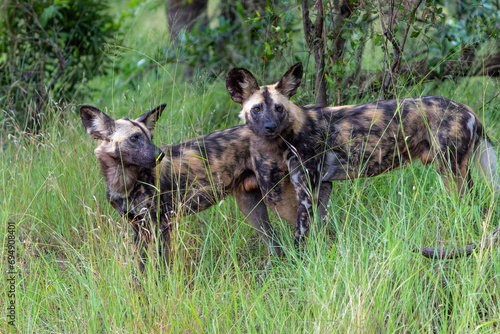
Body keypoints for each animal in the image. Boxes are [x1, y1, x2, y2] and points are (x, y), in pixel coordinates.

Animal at [81, 103, 300, 268]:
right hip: (250, 207)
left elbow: (160, 267)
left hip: (277, 199)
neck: (124, 181)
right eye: (134, 138)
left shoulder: (161, 226)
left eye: (150, 138)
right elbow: (140, 270)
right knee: (275, 245)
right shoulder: (139, 229)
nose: (160, 155)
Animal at [228, 62, 500, 248]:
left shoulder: (306, 191)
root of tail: (466, 109)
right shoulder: (323, 187)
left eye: (279, 108)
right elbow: (321, 231)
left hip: (451, 172)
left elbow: (301, 235)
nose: (270, 127)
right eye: (256, 109)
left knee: (474, 206)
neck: (293, 130)